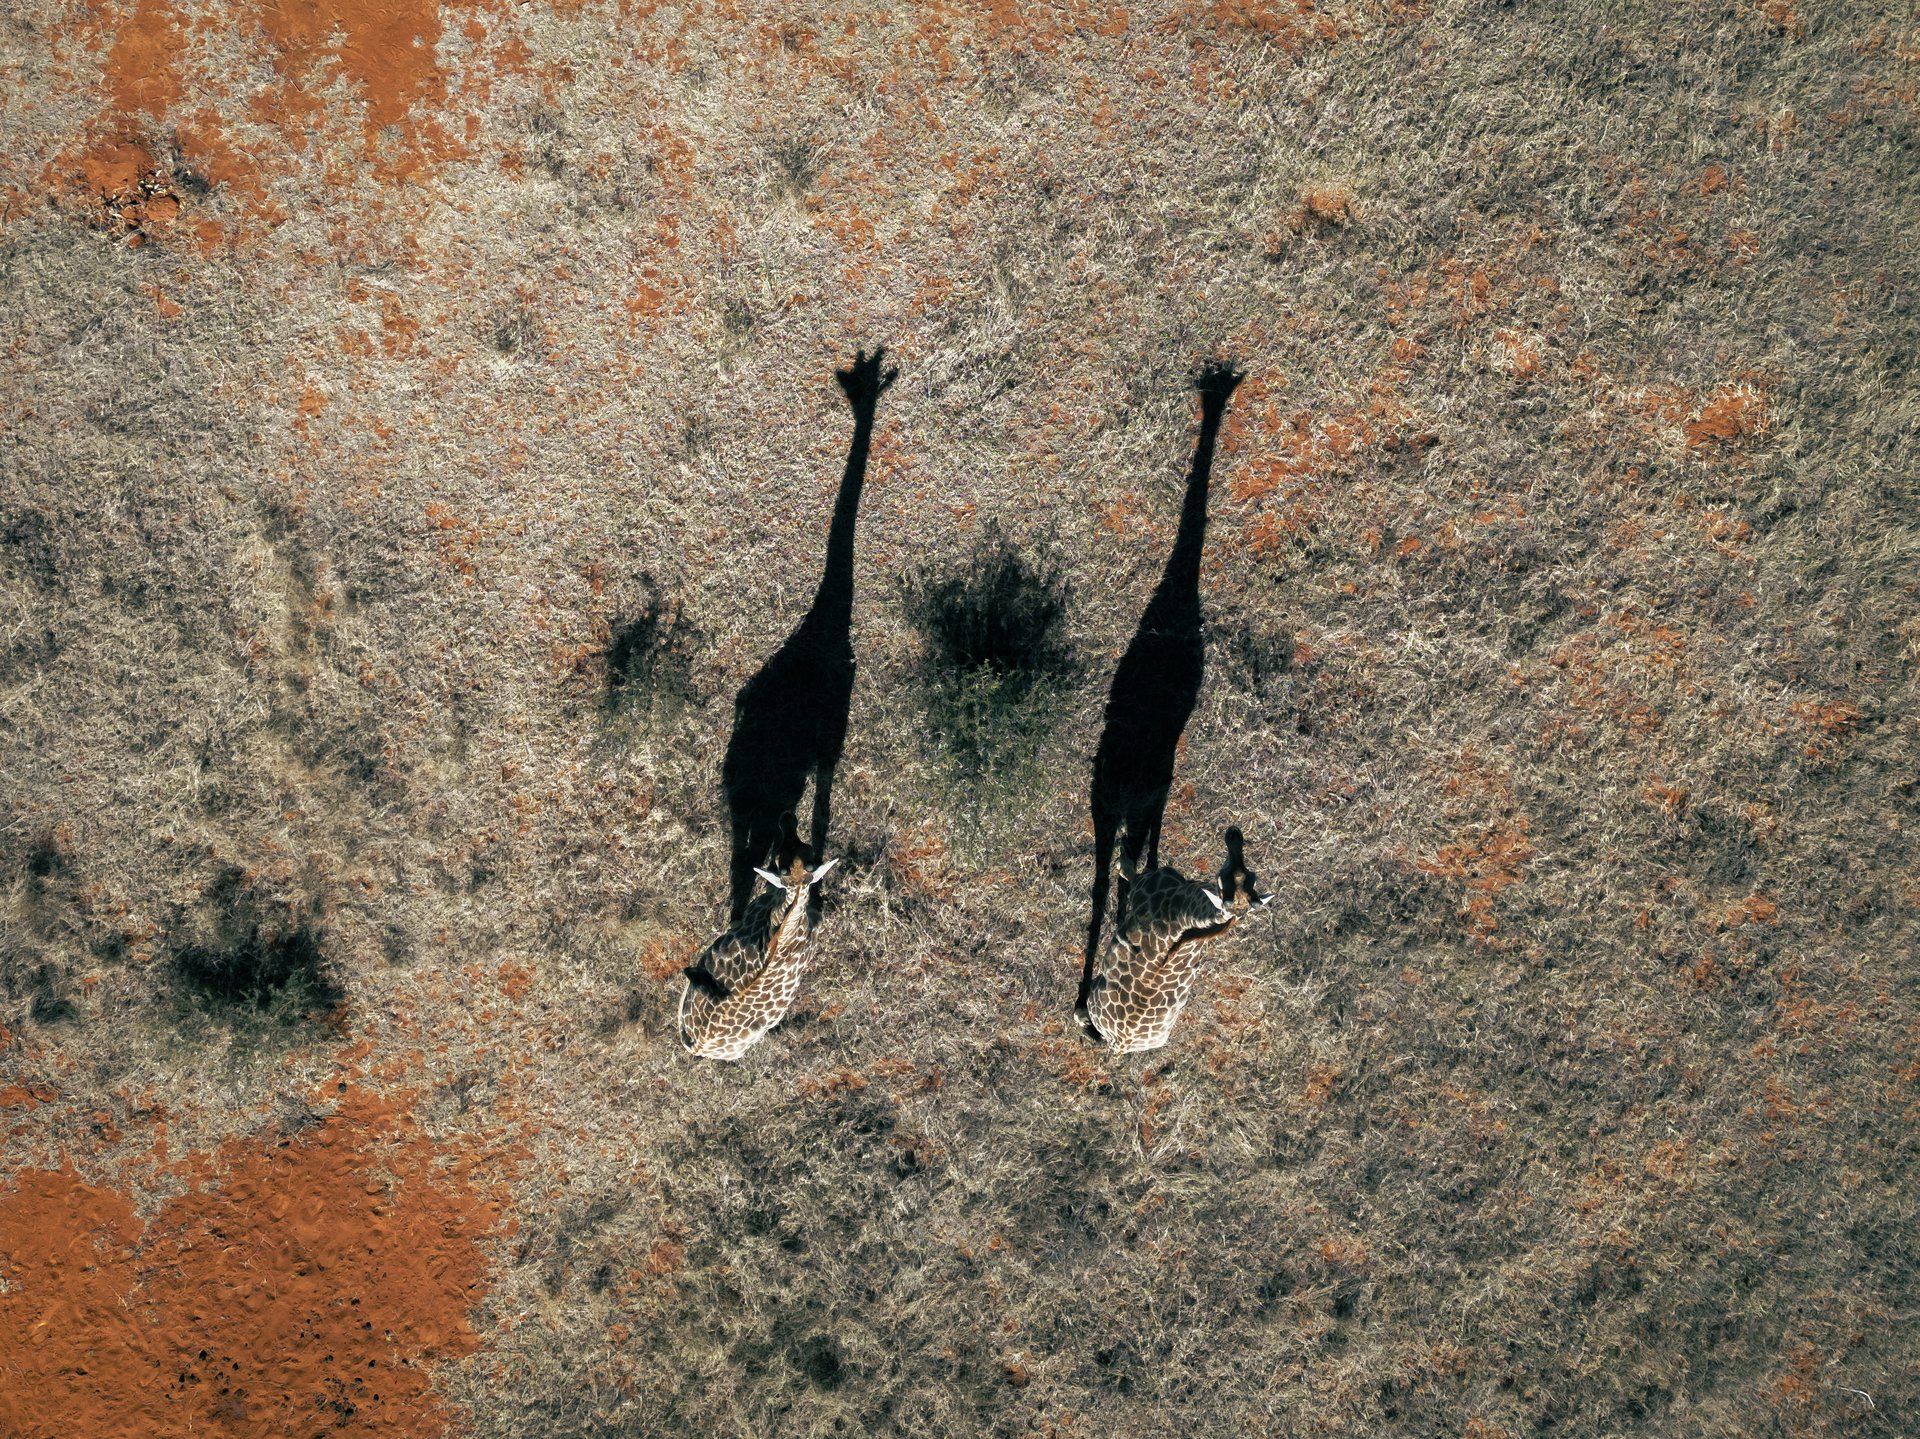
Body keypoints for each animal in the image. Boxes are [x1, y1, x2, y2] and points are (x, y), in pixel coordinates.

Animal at [721, 347, 897, 922]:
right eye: (857, 387)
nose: (868, 380)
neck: (831, 617)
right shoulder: (830, 744)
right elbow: (820, 822)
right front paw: (817, 904)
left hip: (750, 809)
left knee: (744, 871)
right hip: (761, 803)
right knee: (750, 869)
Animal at [1078, 359, 1245, 1019]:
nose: (1218, 388)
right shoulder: (1155, 793)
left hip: (1102, 802)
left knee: (1107, 876)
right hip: (1123, 803)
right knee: (1120, 870)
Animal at [1081, 826, 1272, 1054]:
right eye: (1250, 874)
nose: (1234, 834)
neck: (1185, 914)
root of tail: (1120, 1045)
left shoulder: (1140, 884)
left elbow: (1128, 871)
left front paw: (1121, 857)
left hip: (1095, 994)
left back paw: (1082, 1016)